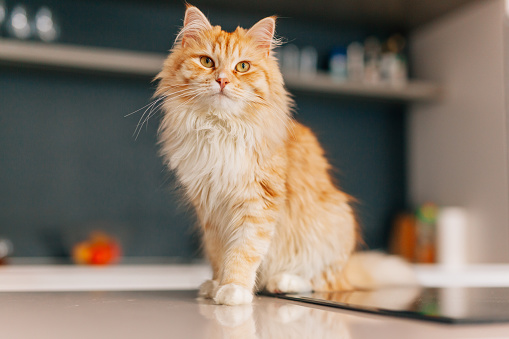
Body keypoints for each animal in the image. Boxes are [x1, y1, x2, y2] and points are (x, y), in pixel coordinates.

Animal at [155, 6, 412, 306]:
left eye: (242, 67)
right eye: (207, 62)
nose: (222, 80)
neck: (221, 128)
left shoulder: (258, 203)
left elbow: (243, 252)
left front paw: (233, 290)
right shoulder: (211, 211)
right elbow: (220, 255)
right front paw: (217, 284)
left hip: (334, 223)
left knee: (325, 282)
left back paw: (283, 282)